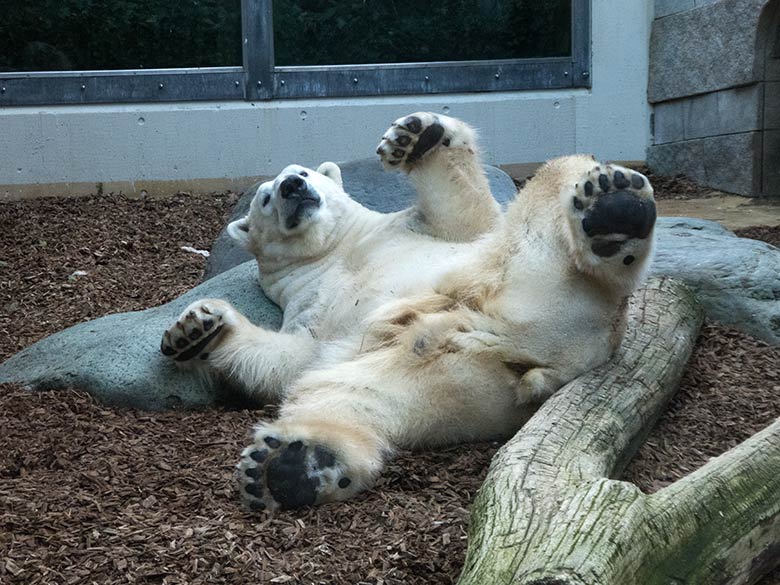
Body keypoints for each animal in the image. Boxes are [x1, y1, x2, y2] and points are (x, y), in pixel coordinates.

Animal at [157, 110, 652, 512]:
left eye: (301, 170)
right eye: (265, 198)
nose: (293, 186)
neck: (336, 251)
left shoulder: (413, 231)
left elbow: (466, 217)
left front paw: (418, 135)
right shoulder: (308, 310)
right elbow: (294, 362)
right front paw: (195, 330)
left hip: (523, 268)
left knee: (557, 177)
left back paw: (614, 208)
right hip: (439, 375)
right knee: (349, 396)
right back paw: (292, 467)